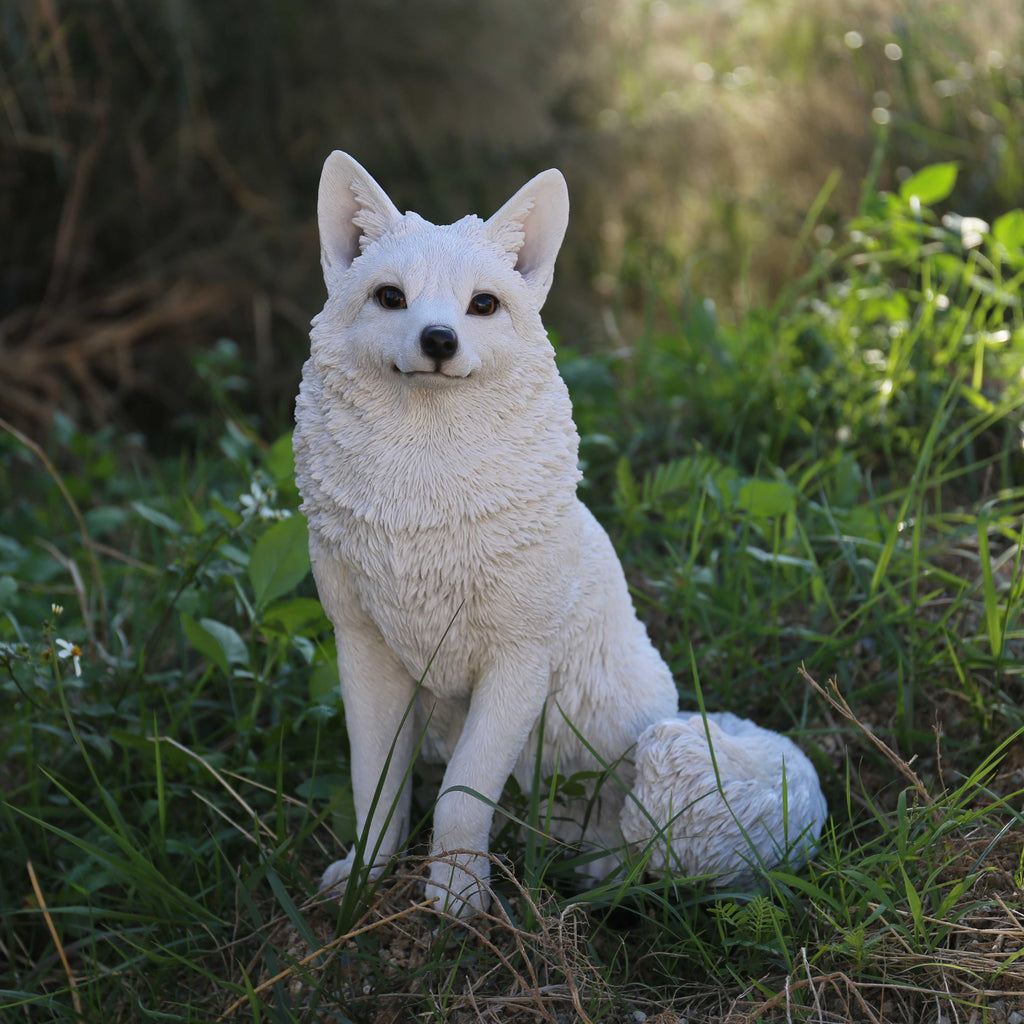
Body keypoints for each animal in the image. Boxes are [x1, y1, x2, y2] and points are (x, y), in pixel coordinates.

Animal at [293, 151, 827, 914]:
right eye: (390, 297)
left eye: (483, 304)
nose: (438, 340)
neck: (421, 506)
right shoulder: (365, 651)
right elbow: (376, 793)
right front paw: (364, 880)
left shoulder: (519, 659)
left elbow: (462, 796)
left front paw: (456, 898)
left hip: (665, 760)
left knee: (642, 867)